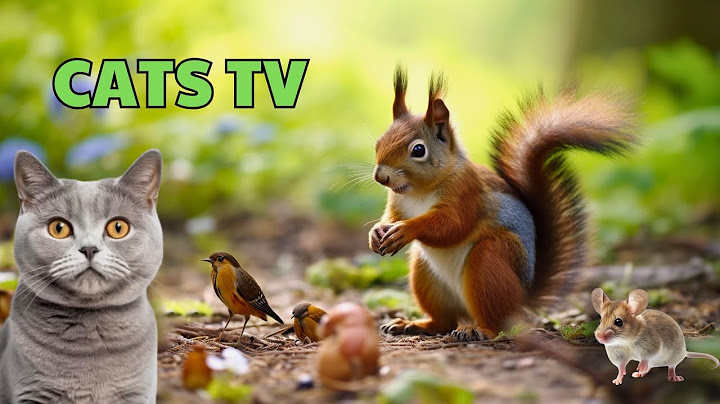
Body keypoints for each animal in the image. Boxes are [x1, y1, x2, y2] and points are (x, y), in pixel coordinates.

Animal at [369, 65, 636, 341]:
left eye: (418, 150)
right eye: (379, 142)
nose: (381, 177)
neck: (419, 191)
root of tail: (522, 299)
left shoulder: (467, 194)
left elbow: (452, 225)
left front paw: (406, 229)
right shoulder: (397, 203)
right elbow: (391, 216)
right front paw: (376, 232)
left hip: (490, 261)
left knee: (497, 322)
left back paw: (478, 330)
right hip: (425, 275)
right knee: (443, 321)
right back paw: (414, 324)